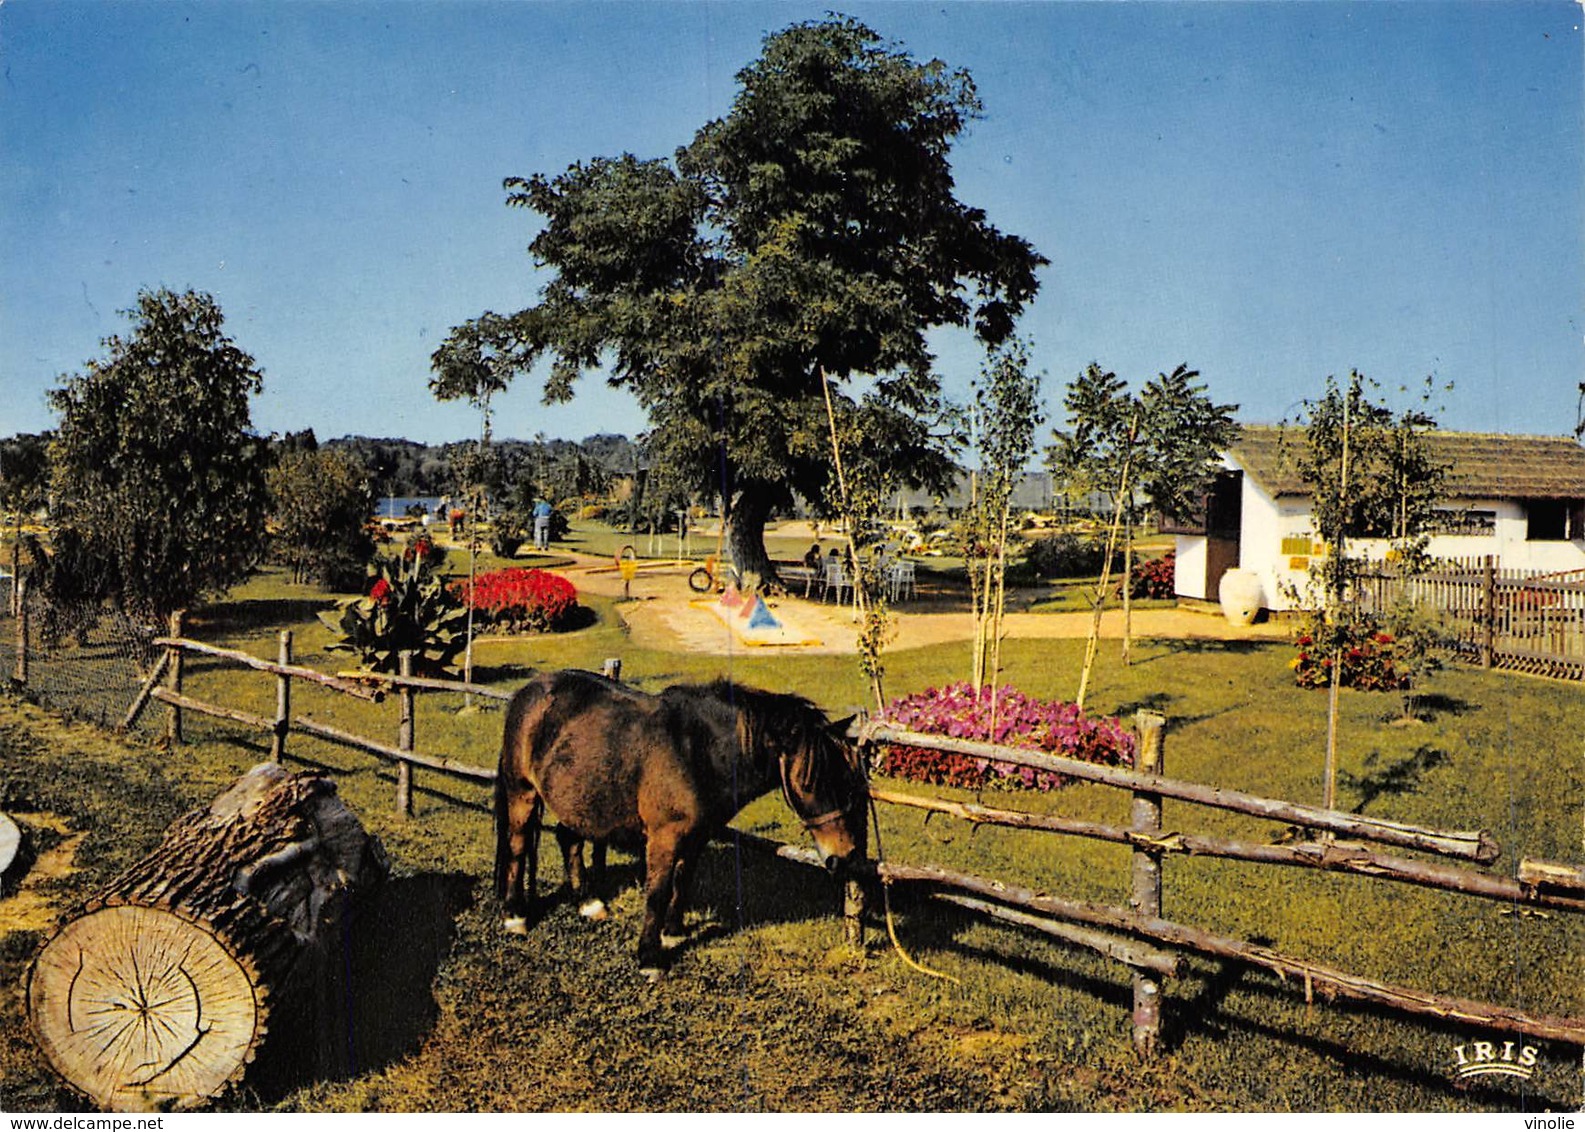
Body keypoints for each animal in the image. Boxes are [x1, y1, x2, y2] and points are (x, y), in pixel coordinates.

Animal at [494, 665, 868, 976]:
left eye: (849, 779)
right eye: (809, 782)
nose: (845, 856)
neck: (698, 751)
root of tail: (530, 690)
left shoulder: (698, 835)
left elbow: (683, 880)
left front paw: (672, 933)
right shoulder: (665, 836)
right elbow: (658, 892)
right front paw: (649, 957)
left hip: (578, 796)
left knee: (568, 839)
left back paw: (588, 903)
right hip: (522, 792)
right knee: (518, 844)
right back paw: (515, 915)